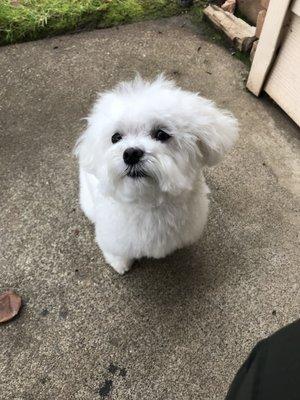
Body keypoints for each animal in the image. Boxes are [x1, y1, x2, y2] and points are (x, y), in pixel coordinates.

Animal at [75, 75, 239, 276]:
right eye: (116, 138)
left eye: (161, 134)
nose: (131, 154)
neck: (150, 202)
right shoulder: (112, 235)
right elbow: (116, 250)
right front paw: (119, 263)